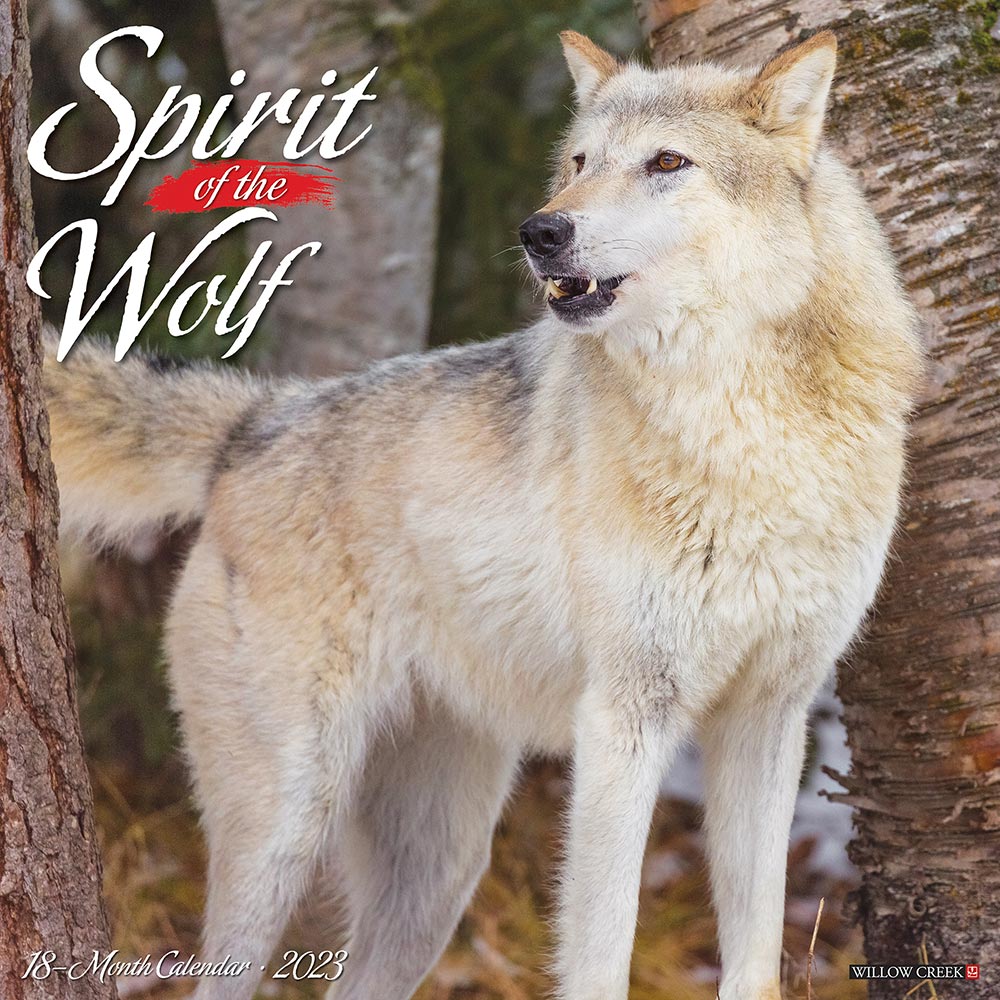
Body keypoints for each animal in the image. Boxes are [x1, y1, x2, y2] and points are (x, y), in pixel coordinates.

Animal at [44, 28, 921, 1000]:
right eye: (579, 163)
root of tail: (254, 420)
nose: (540, 231)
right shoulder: (624, 722)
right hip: (287, 826)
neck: (745, 428)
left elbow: (756, 955)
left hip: (436, 875)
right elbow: (600, 952)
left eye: (666, 162)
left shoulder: (770, 718)